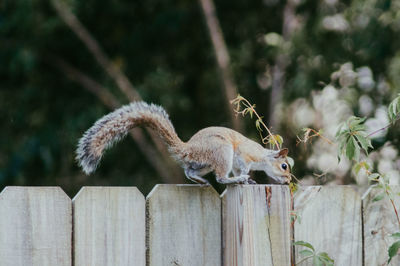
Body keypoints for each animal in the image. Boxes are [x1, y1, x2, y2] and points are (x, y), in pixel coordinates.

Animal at [76, 101, 292, 185]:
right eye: (284, 166)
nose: (289, 181)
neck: (263, 157)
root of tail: (188, 148)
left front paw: (248, 179)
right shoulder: (244, 154)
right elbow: (243, 167)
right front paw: (244, 177)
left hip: (204, 163)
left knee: (190, 171)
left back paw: (201, 181)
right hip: (222, 151)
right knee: (221, 178)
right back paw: (230, 180)